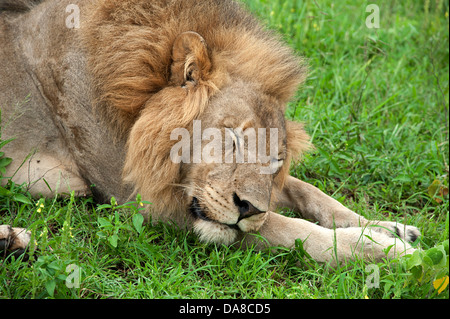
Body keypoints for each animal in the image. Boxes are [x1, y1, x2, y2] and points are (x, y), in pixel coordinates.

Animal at [1, 0, 420, 264]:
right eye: (232, 139)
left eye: (276, 160)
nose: (250, 208)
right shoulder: (143, 199)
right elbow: (294, 230)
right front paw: (387, 252)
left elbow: (309, 192)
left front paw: (391, 228)